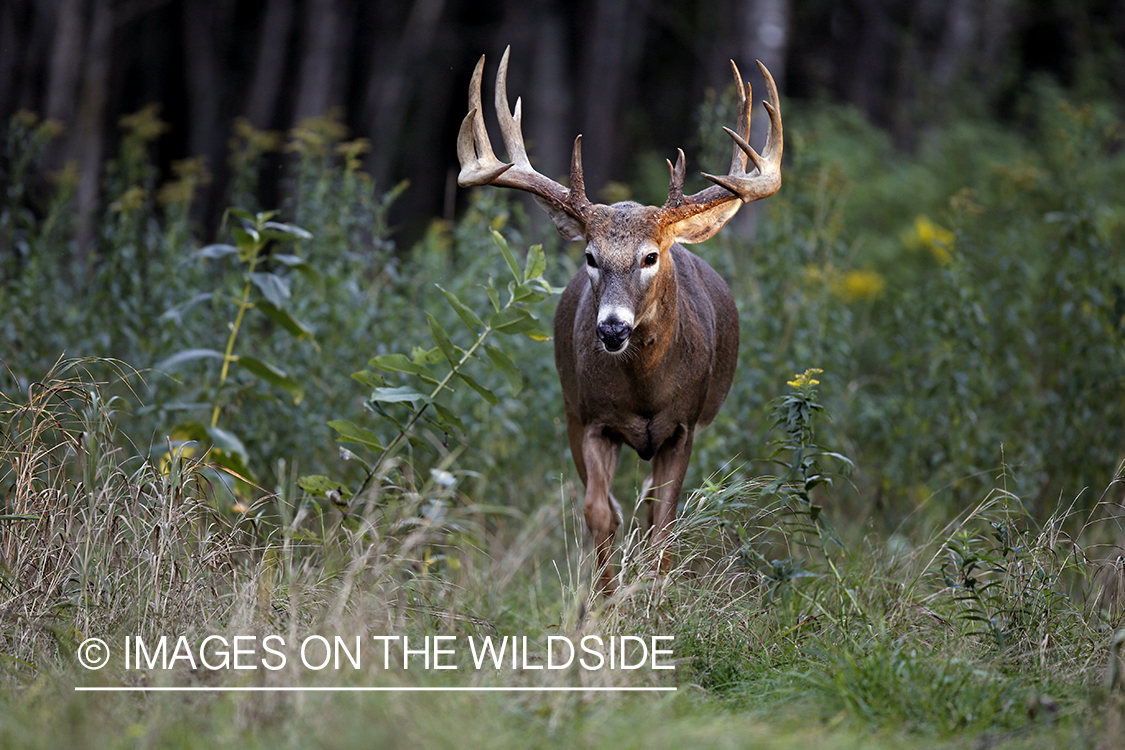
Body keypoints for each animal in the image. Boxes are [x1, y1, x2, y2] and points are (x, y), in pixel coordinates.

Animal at [456, 48, 783, 598]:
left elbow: (664, 520)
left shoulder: (683, 425)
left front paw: (656, 594)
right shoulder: (591, 418)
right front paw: (605, 599)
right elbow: (598, 510)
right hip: (570, 407)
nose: (611, 329)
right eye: (590, 256)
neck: (644, 393)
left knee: (651, 506)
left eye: (651, 256)